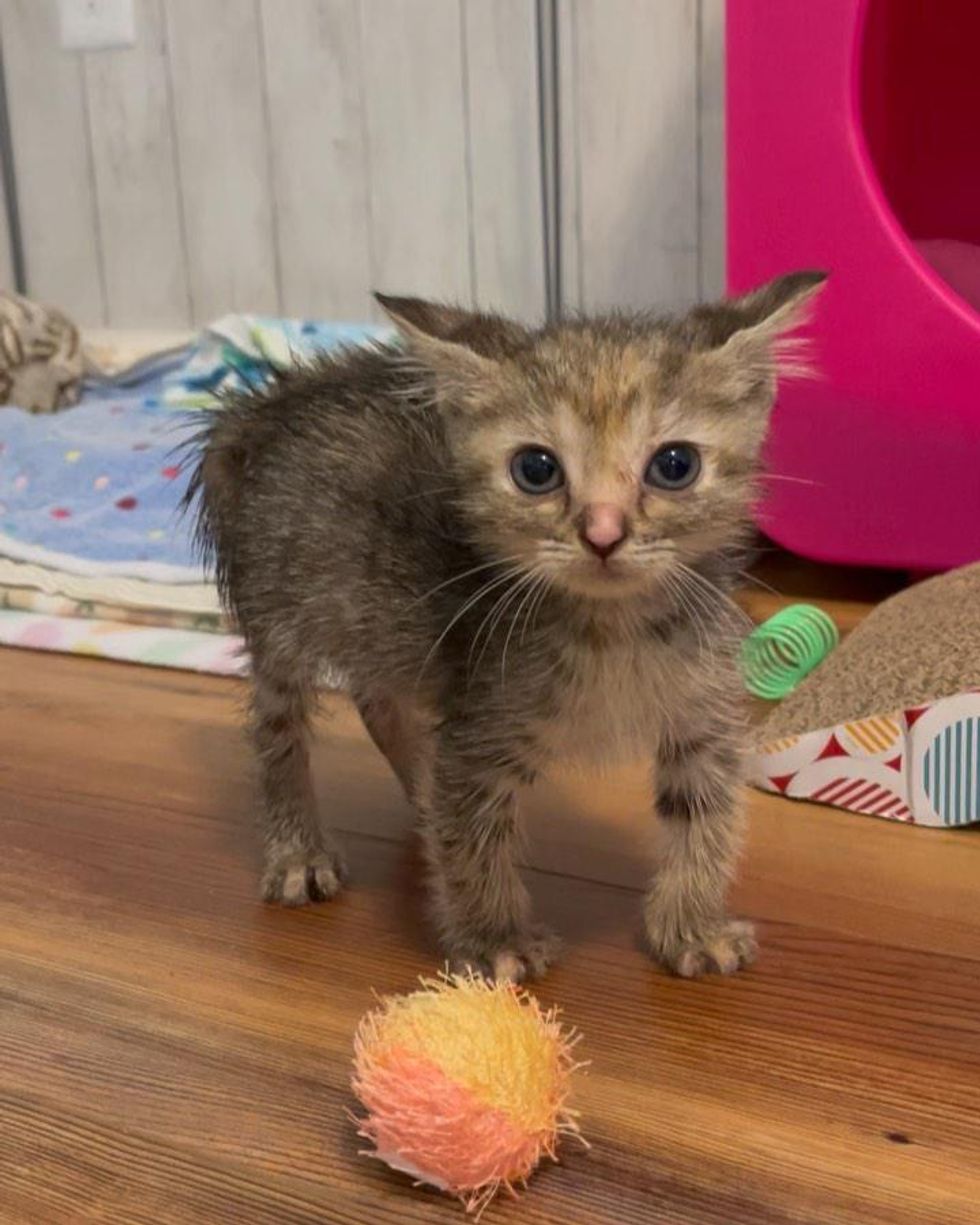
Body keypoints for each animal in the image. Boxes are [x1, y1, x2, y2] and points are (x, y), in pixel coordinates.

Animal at [187, 270, 823, 984]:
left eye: (675, 465)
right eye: (536, 470)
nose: (604, 535)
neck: (613, 630)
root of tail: (262, 407)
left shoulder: (701, 716)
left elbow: (705, 816)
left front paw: (692, 926)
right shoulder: (480, 730)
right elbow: (473, 834)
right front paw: (495, 939)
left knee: (379, 701)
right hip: (284, 616)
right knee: (278, 729)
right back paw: (298, 849)